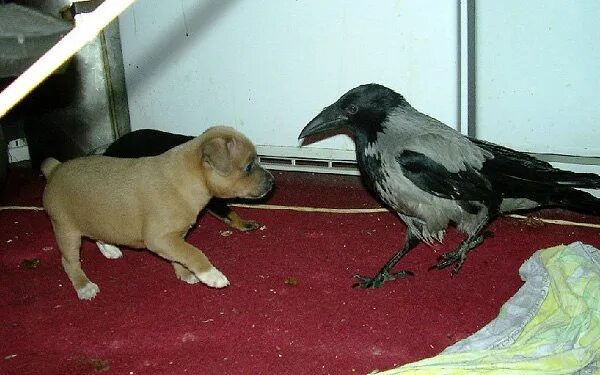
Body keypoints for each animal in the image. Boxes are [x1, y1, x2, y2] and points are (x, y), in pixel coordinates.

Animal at [42, 128, 274, 302]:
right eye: (248, 166)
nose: (273, 181)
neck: (189, 178)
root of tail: (55, 169)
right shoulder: (160, 238)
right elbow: (193, 252)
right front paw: (211, 274)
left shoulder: (174, 237)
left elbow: (180, 255)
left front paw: (185, 273)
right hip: (66, 229)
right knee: (69, 262)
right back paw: (84, 286)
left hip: (96, 218)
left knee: (97, 232)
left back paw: (110, 249)